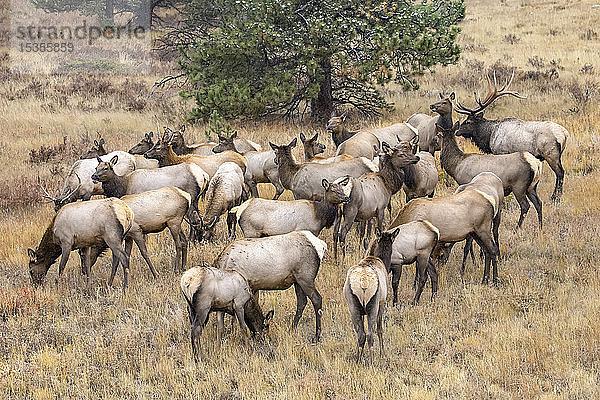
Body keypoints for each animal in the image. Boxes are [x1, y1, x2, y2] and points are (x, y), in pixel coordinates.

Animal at [342, 228, 398, 362]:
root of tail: (363, 283)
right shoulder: (382, 303)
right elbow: (380, 329)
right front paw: (383, 352)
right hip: (373, 306)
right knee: (370, 334)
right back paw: (372, 361)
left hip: (353, 307)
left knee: (361, 334)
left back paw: (358, 359)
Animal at [454, 70, 568, 202]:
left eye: (468, 122)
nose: (457, 131)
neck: (490, 135)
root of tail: (565, 134)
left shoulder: (501, 152)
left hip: (551, 154)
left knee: (560, 173)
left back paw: (555, 197)